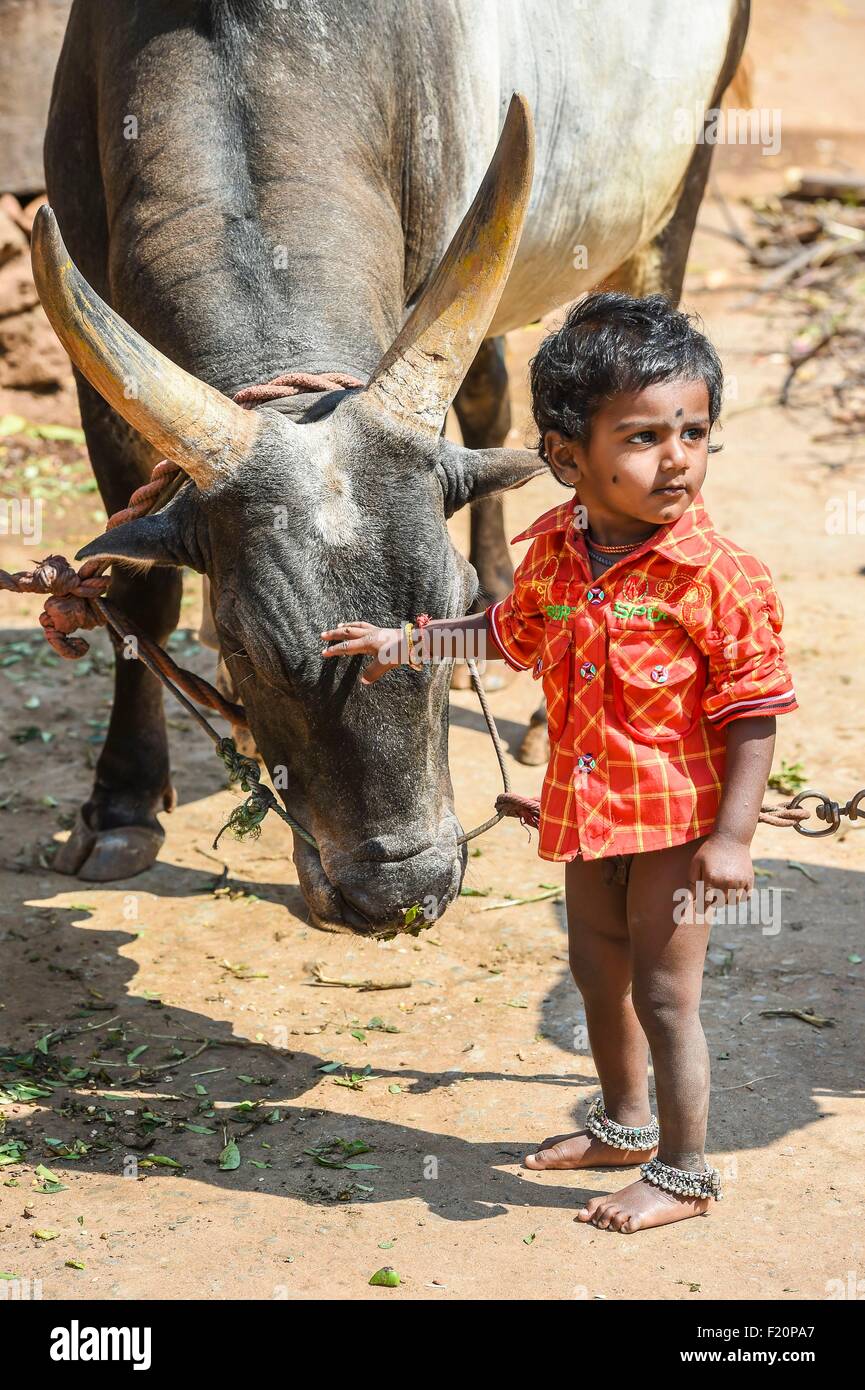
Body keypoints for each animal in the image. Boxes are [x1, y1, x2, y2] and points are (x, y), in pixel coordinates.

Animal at [37, 0, 750, 939]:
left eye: (445, 609)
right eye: (245, 643)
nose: (401, 894)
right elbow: (135, 595)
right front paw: (121, 805)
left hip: (679, 186)